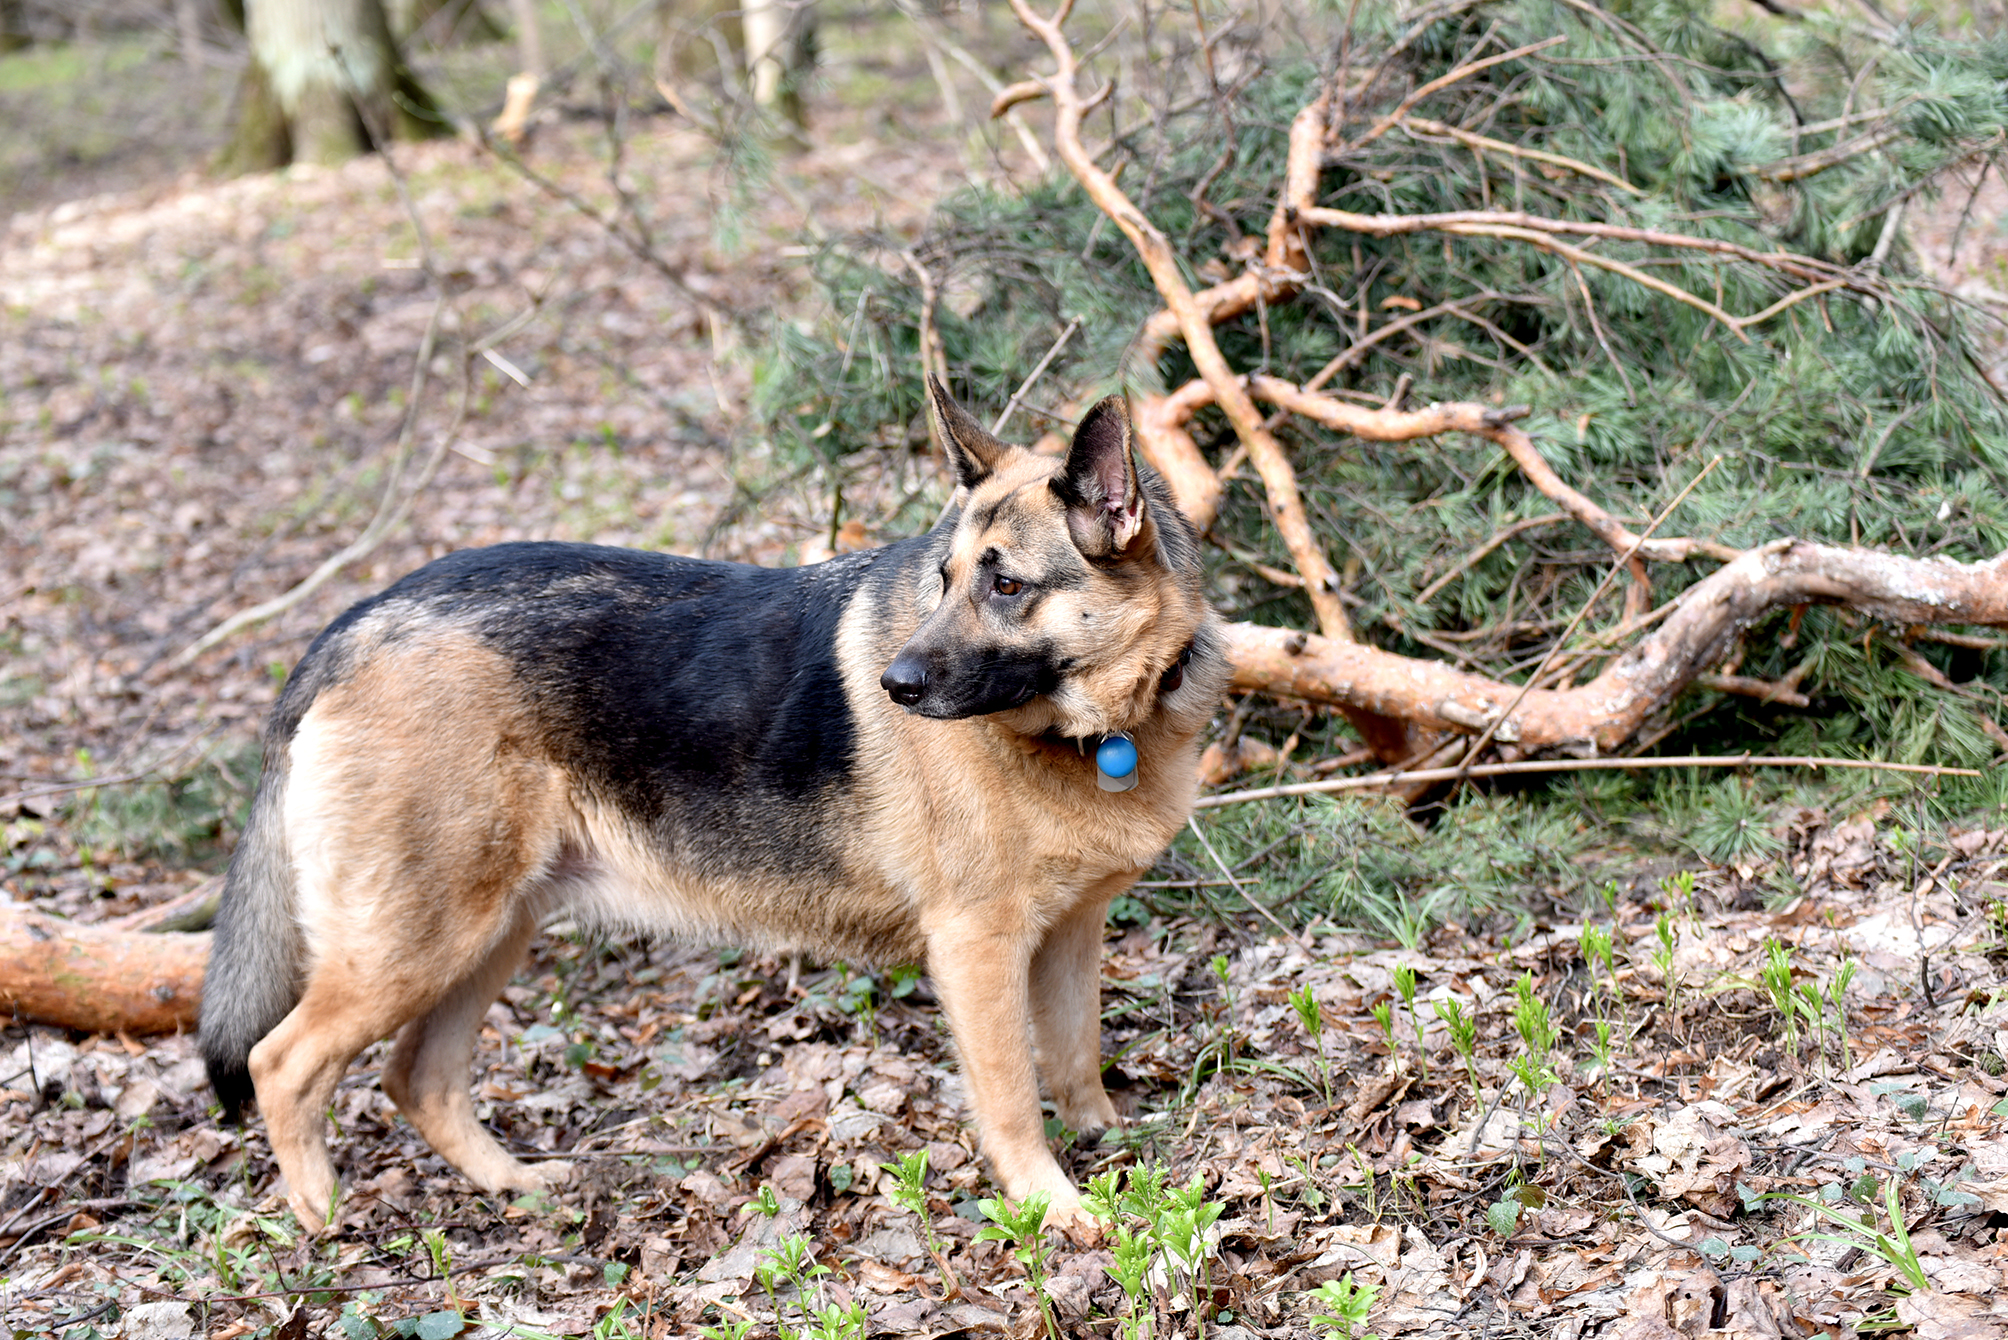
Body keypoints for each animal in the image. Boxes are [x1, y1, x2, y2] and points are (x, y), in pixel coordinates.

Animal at [199, 379, 1220, 1237]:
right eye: (945, 581)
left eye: (1006, 585)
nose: (892, 686)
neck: (1094, 731)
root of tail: (356, 620)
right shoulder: (979, 949)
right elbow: (1012, 1097)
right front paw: (1054, 1207)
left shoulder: (1070, 935)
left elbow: (1076, 1055)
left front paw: (1108, 1143)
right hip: (415, 943)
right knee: (281, 1063)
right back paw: (322, 1218)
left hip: (487, 934)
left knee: (421, 1077)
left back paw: (513, 1185)